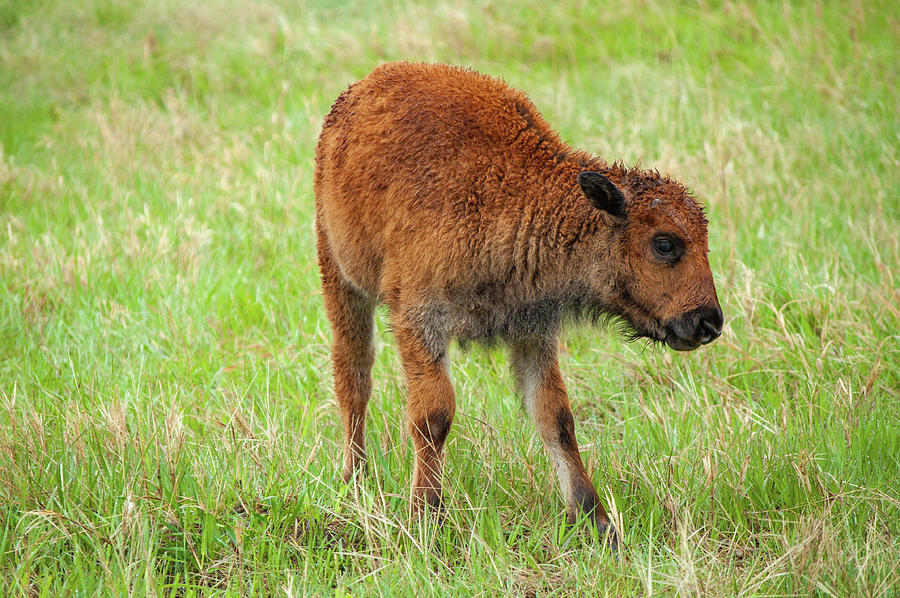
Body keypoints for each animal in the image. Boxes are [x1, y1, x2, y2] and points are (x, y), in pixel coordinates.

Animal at [316, 62, 724, 548]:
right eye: (665, 244)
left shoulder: (533, 330)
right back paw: (354, 477)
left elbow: (555, 417)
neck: (517, 193)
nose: (708, 322)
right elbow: (433, 415)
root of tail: (362, 89)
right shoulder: (419, 317)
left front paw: (598, 522)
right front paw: (426, 518)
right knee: (354, 375)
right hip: (338, 276)